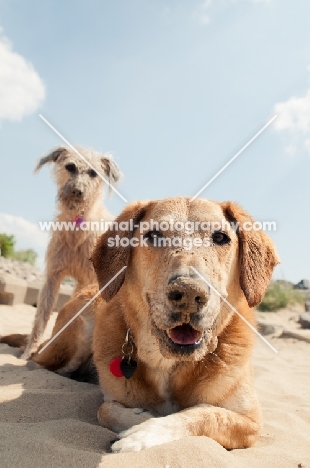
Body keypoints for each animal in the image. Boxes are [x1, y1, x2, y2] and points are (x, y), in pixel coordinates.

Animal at [0, 197, 280, 454]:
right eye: (154, 235)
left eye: (220, 237)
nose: (189, 294)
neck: (169, 365)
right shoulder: (113, 397)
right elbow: (105, 409)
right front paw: (141, 419)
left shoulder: (250, 422)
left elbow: (205, 414)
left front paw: (145, 432)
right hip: (77, 338)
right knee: (40, 362)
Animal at [22, 146, 122, 358]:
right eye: (70, 167)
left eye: (93, 172)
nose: (77, 190)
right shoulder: (53, 276)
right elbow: (41, 316)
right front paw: (29, 351)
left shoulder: (91, 280)